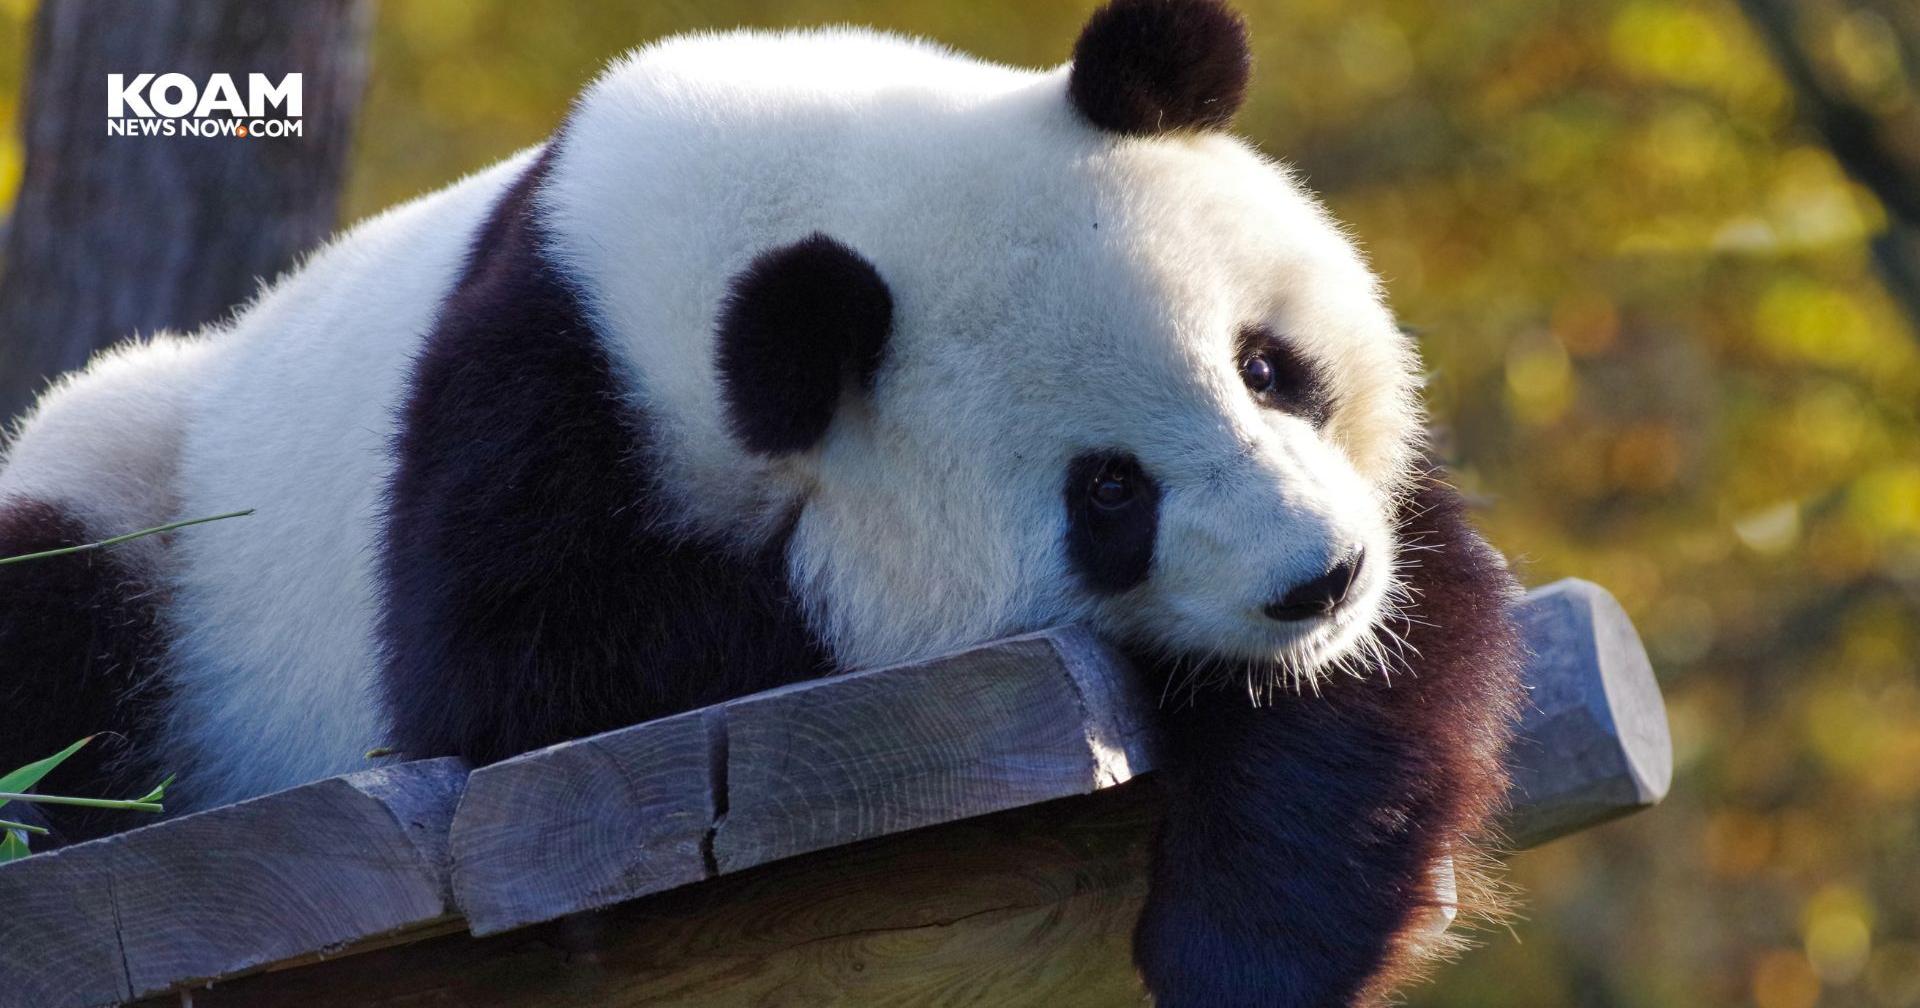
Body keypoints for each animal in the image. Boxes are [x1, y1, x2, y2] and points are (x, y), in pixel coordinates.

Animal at [0, 1, 1525, 1004]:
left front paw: (1255, 934)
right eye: (1108, 492)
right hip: (144, 501)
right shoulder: (528, 422)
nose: (1316, 579)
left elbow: (1406, 634)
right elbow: (532, 688)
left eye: (1269, 365)